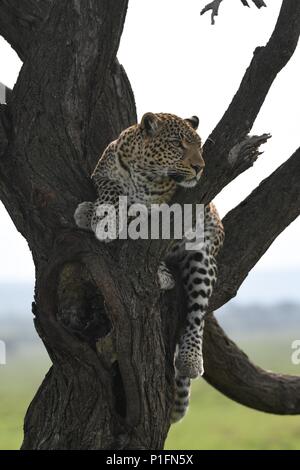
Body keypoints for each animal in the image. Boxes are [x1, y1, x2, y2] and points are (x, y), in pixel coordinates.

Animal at [74, 113, 225, 422]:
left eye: (199, 146)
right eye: (178, 144)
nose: (200, 167)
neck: (143, 173)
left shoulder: (168, 208)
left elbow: (141, 218)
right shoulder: (102, 175)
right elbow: (113, 190)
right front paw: (102, 216)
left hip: (203, 256)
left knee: (196, 313)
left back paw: (190, 358)